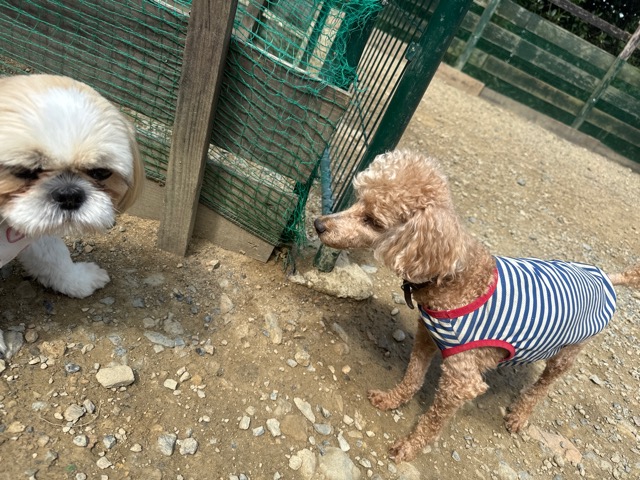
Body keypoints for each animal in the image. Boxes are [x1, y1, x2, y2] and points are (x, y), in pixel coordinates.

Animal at [0, 74, 143, 357]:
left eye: (100, 172)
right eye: (23, 171)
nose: (69, 194)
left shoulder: (32, 233)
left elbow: (55, 258)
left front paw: (77, 280)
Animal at [314, 149, 640, 462]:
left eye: (372, 221)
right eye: (358, 199)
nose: (318, 224)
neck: (451, 277)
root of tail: (604, 277)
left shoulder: (461, 380)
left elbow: (432, 421)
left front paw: (409, 447)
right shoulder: (427, 337)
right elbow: (413, 376)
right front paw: (392, 399)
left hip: (567, 353)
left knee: (541, 388)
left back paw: (519, 415)